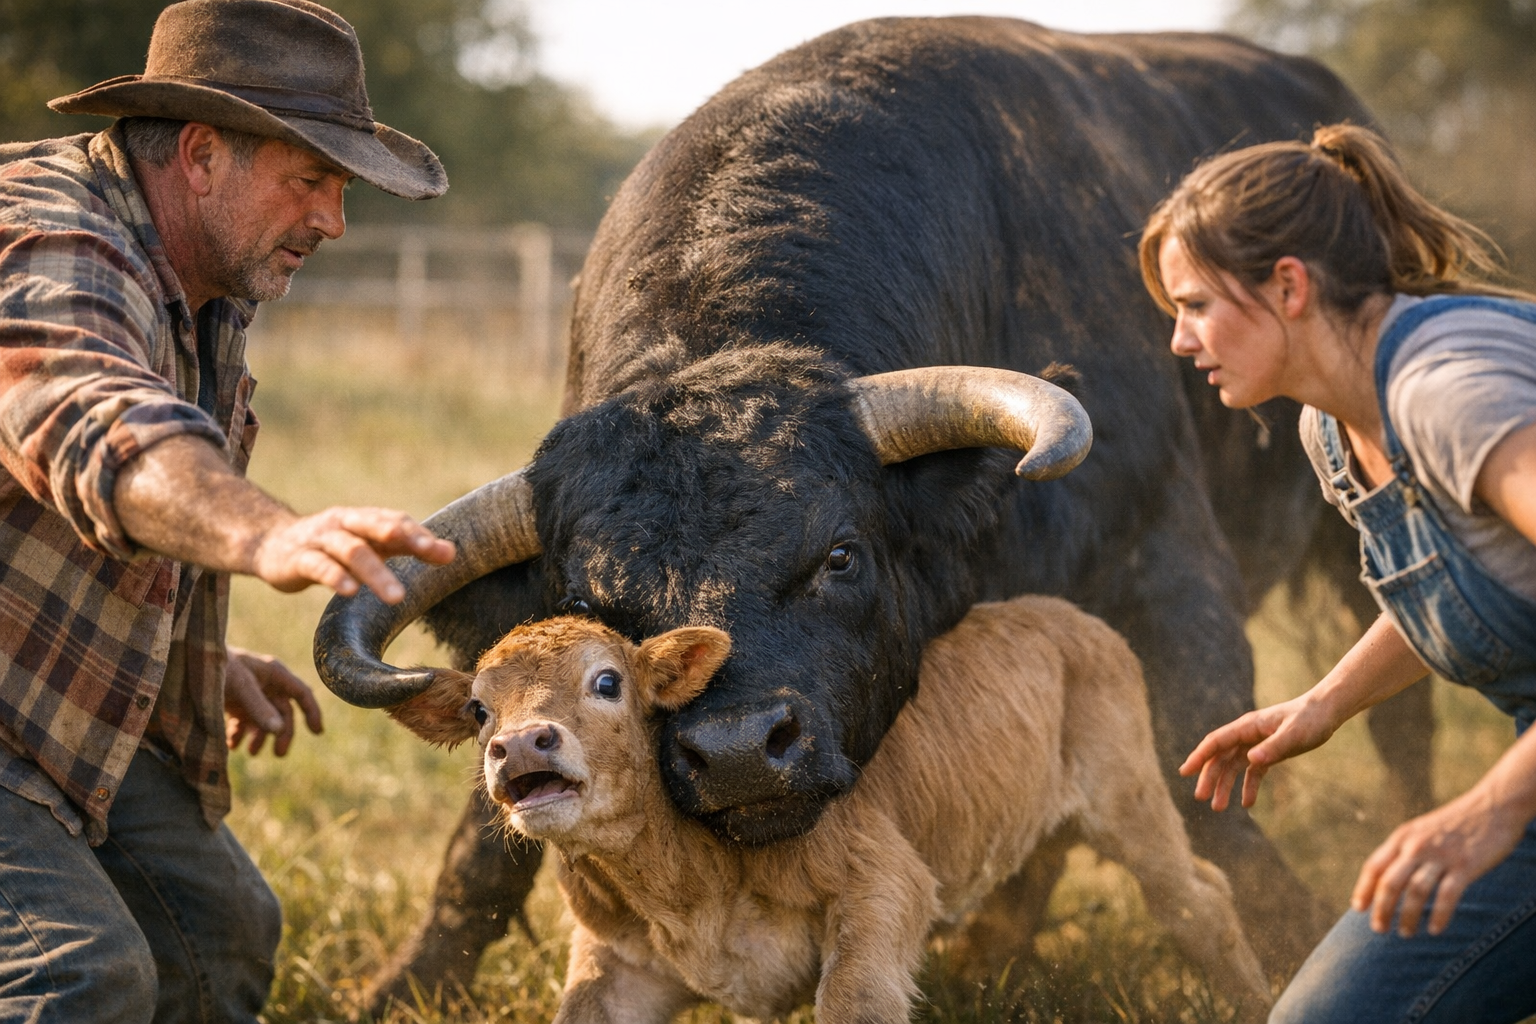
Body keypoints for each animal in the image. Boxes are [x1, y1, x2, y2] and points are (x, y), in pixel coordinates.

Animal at [387, 598, 1274, 1023]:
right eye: (478, 711)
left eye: (607, 681)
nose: (522, 747)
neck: (694, 887)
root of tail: (1070, 615)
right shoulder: (614, 963)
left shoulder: (883, 885)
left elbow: (855, 1001)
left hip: (1130, 797)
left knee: (1200, 900)